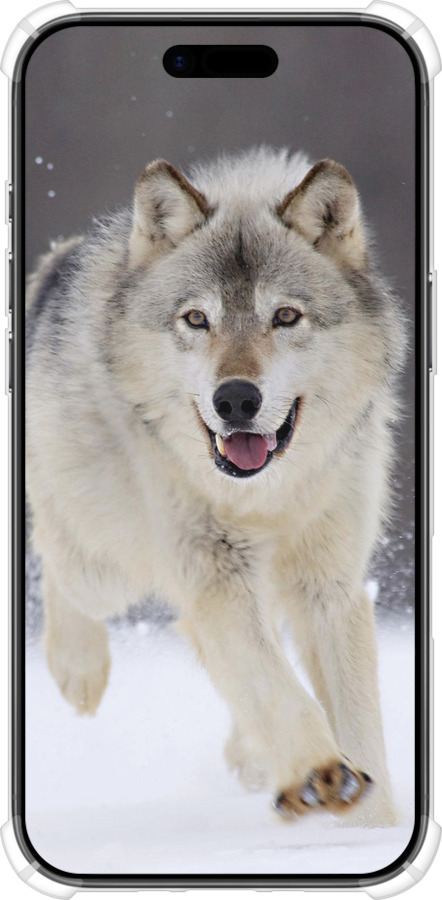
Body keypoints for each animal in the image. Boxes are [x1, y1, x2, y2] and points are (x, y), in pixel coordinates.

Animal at [26, 147, 405, 826]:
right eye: (197, 319)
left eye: (285, 316)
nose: (235, 400)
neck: (266, 497)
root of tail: (57, 260)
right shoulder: (214, 574)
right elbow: (277, 687)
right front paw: (320, 773)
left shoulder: (329, 585)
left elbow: (358, 722)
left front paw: (373, 826)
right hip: (108, 565)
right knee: (55, 555)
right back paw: (79, 671)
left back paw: (251, 757)